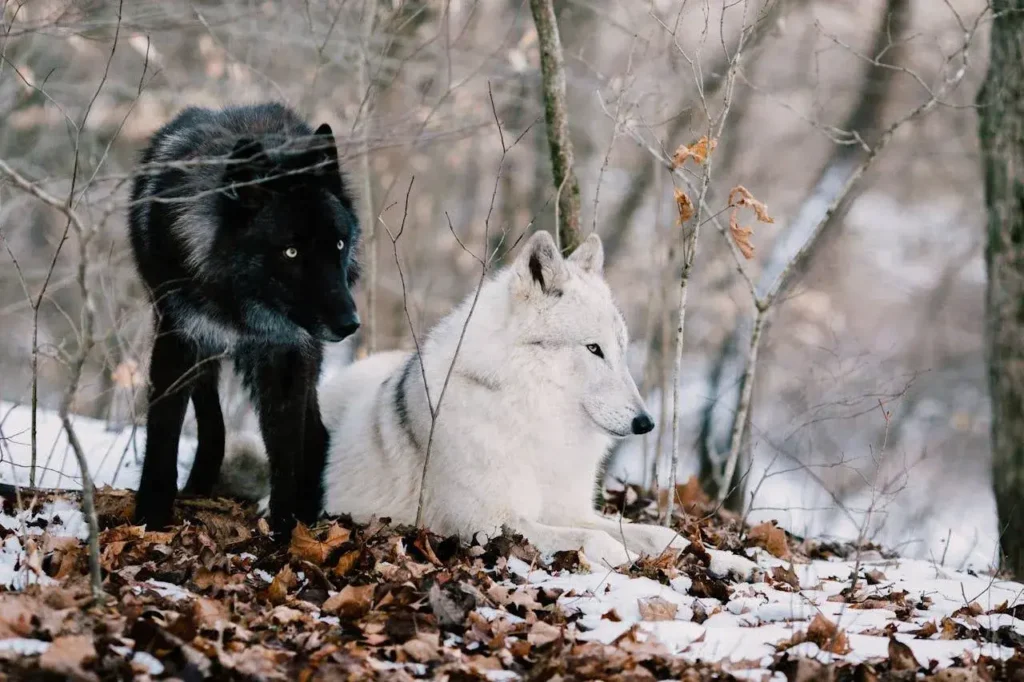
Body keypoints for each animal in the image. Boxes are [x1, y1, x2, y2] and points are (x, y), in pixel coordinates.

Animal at [128, 102, 360, 537]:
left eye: (338, 244)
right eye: (290, 252)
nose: (349, 324)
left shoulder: (285, 354)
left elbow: (286, 451)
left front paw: (285, 531)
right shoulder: (179, 338)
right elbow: (164, 432)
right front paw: (151, 516)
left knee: (315, 434)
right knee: (213, 421)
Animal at [223, 230, 693, 567]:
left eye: (620, 349)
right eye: (593, 349)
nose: (646, 422)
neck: (531, 419)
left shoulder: (566, 508)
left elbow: (640, 530)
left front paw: (692, 549)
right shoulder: (488, 523)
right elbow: (593, 539)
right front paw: (621, 556)